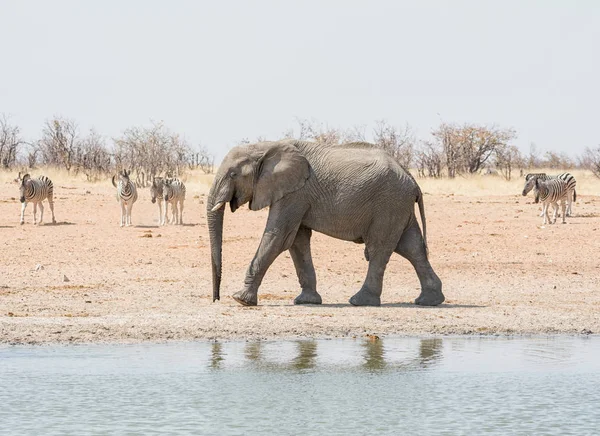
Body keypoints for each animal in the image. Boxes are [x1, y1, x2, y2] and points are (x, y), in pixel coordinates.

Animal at [207, 140, 446, 306]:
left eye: (233, 174)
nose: (216, 299)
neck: (265, 146)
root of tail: (412, 179)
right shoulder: (296, 194)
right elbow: (297, 242)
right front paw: (306, 301)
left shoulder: (295, 193)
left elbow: (278, 237)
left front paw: (240, 299)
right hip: (398, 206)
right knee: (411, 247)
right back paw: (428, 301)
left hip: (389, 204)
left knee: (380, 249)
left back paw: (359, 301)